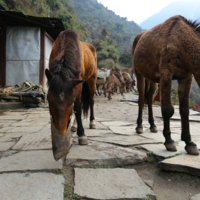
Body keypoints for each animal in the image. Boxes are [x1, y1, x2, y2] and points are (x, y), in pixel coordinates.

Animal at [46, 30, 97, 161]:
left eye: (70, 100)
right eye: (48, 99)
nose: (61, 130)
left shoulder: (78, 86)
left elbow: (77, 108)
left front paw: (82, 135)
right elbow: (76, 108)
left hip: (92, 80)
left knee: (91, 101)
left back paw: (92, 122)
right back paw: (74, 126)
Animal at [133, 15, 200, 156]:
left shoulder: (186, 77)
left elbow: (184, 110)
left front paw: (189, 143)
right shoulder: (166, 75)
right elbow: (167, 110)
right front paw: (169, 141)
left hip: (152, 79)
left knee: (149, 99)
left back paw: (153, 125)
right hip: (139, 73)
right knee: (141, 99)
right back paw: (139, 126)